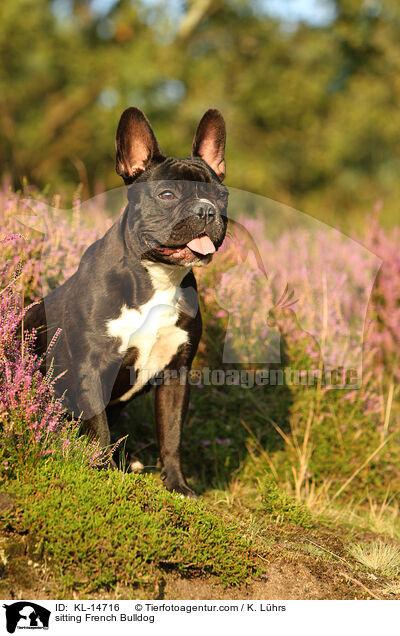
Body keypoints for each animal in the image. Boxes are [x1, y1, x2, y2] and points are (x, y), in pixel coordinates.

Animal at [25, 108, 228, 496]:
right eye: (167, 194)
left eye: (221, 195)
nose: (207, 210)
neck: (158, 278)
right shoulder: (92, 368)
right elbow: (100, 429)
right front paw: (101, 471)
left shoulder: (176, 374)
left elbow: (171, 435)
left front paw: (177, 485)